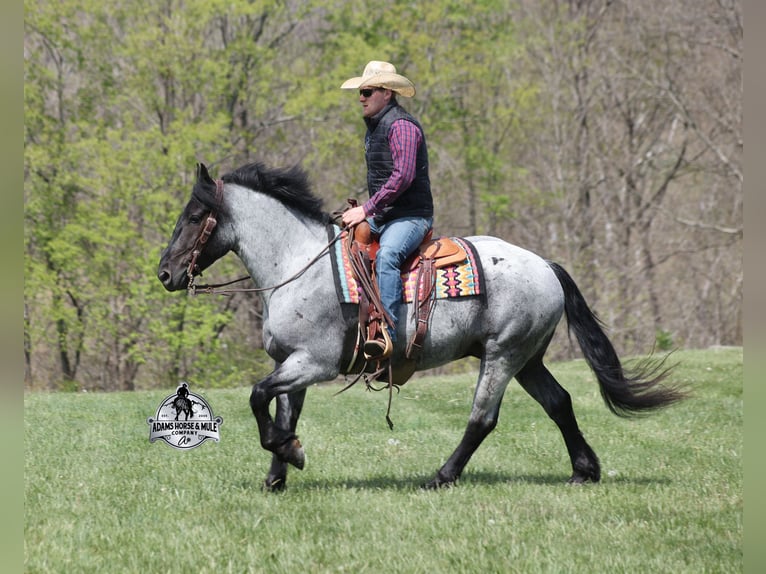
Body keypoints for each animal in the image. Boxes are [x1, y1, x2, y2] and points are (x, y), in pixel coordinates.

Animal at [157, 161, 685, 491]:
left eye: (195, 215)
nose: (165, 273)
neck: (298, 264)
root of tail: (545, 265)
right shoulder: (292, 364)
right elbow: (282, 413)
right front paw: (279, 472)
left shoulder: (314, 363)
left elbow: (257, 397)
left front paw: (289, 454)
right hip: (528, 357)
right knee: (559, 403)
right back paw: (583, 470)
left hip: (503, 354)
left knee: (482, 418)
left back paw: (442, 476)